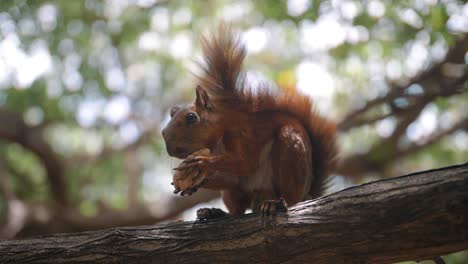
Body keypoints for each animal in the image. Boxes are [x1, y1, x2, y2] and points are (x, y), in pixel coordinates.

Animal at [161, 24, 336, 219]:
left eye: (191, 117)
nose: (170, 149)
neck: (218, 138)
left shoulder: (242, 134)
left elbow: (245, 162)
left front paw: (201, 163)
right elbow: (230, 177)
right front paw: (189, 182)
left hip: (291, 154)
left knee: (291, 197)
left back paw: (276, 204)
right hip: (236, 192)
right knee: (236, 208)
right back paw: (214, 212)